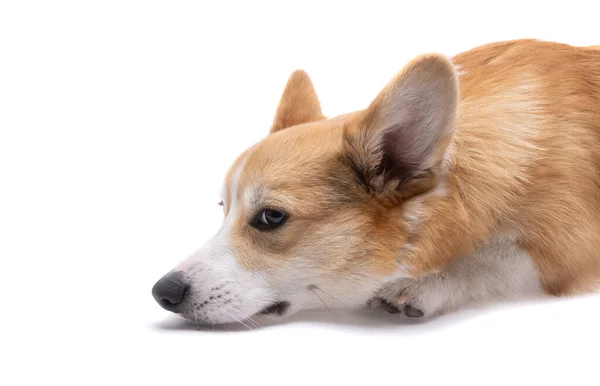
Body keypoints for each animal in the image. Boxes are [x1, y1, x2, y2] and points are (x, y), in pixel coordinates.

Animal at [154, 40, 600, 322]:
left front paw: (428, 283)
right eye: (223, 209)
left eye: (271, 218)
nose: (162, 292)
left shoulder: (569, 251)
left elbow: (494, 257)